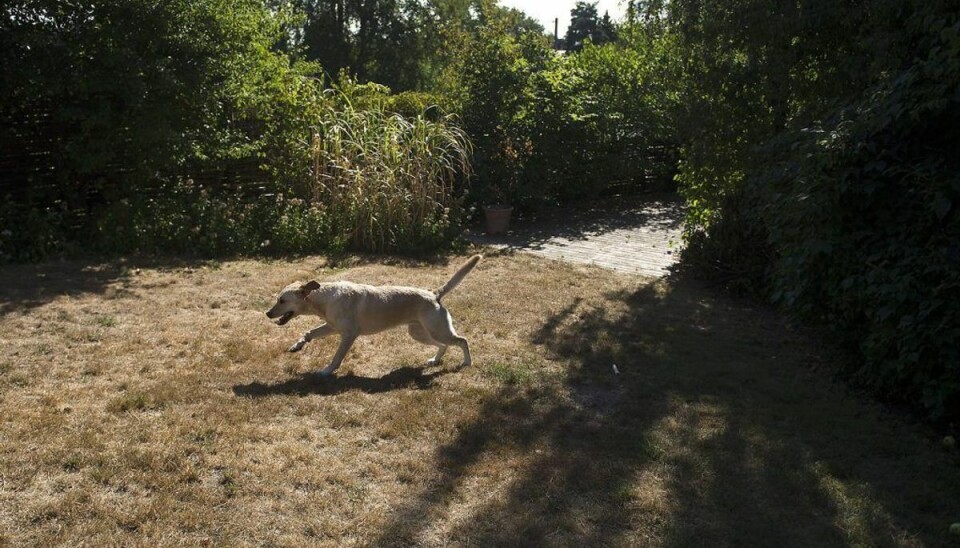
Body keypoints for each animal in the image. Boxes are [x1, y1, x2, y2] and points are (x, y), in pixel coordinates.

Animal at [266, 254, 480, 374]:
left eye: (282, 300)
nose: (267, 314)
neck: (324, 298)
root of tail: (434, 294)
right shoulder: (331, 327)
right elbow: (309, 333)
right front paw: (297, 345)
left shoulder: (348, 334)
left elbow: (337, 358)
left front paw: (326, 371)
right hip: (420, 333)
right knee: (444, 345)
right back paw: (435, 360)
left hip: (437, 331)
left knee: (462, 341)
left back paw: (467, 362)